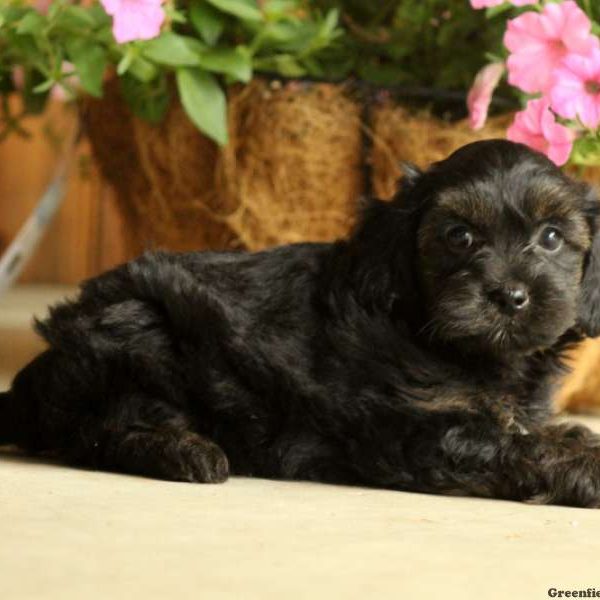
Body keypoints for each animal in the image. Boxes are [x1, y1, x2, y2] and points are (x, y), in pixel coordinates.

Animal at [1, 141, 600, 506]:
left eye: (552, 238)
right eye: (460, 236)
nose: (510, 295)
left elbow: (525, 430)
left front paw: (572, 433)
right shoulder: (411, 429)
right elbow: (510, 445)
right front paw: (583, 465)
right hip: (139, 328)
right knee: (95, 430)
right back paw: (186, 452)